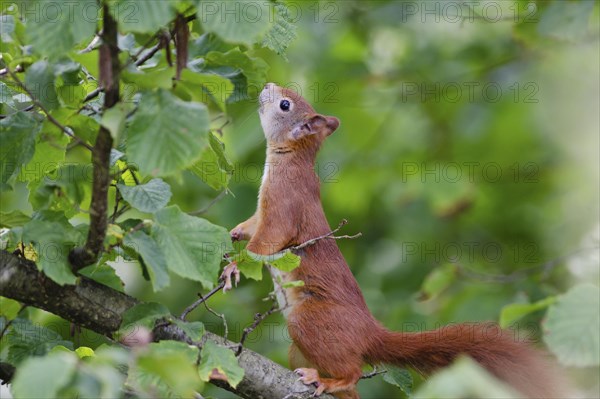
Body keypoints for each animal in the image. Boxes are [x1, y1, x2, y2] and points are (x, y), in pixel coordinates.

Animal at [227, 83, 564, 398]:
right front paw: (234, 232)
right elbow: (253, 225)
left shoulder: (285, 201)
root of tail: (370, 334)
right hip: (299, 350)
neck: (291, 159)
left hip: (310, 323)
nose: (267, 85)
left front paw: (235, 265)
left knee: (351, 372)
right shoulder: (263, 210)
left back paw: (329, 380)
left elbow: (268, 239)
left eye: (285, 105)